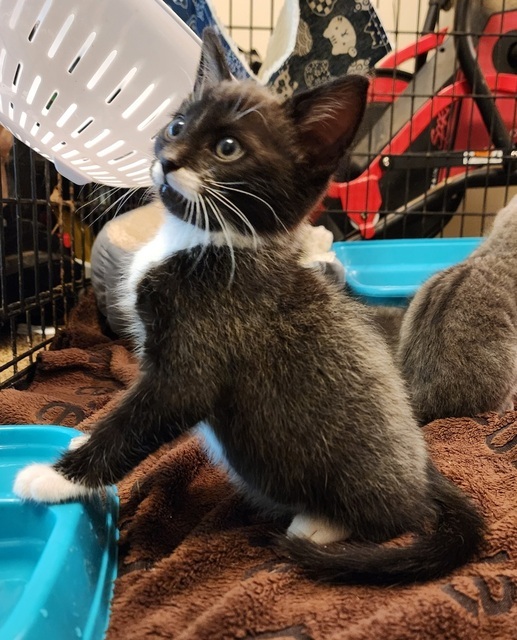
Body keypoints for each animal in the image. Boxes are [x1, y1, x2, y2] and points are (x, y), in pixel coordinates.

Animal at [13, 28, 484, 584]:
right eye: (176, 124)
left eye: (228, 148)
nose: (168, 159)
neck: (206, 241)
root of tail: (423, 469)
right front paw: (74, 448)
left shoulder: (199, 350)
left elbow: (139, 418)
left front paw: (56, 477)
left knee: (397, 517)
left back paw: (322, 524)